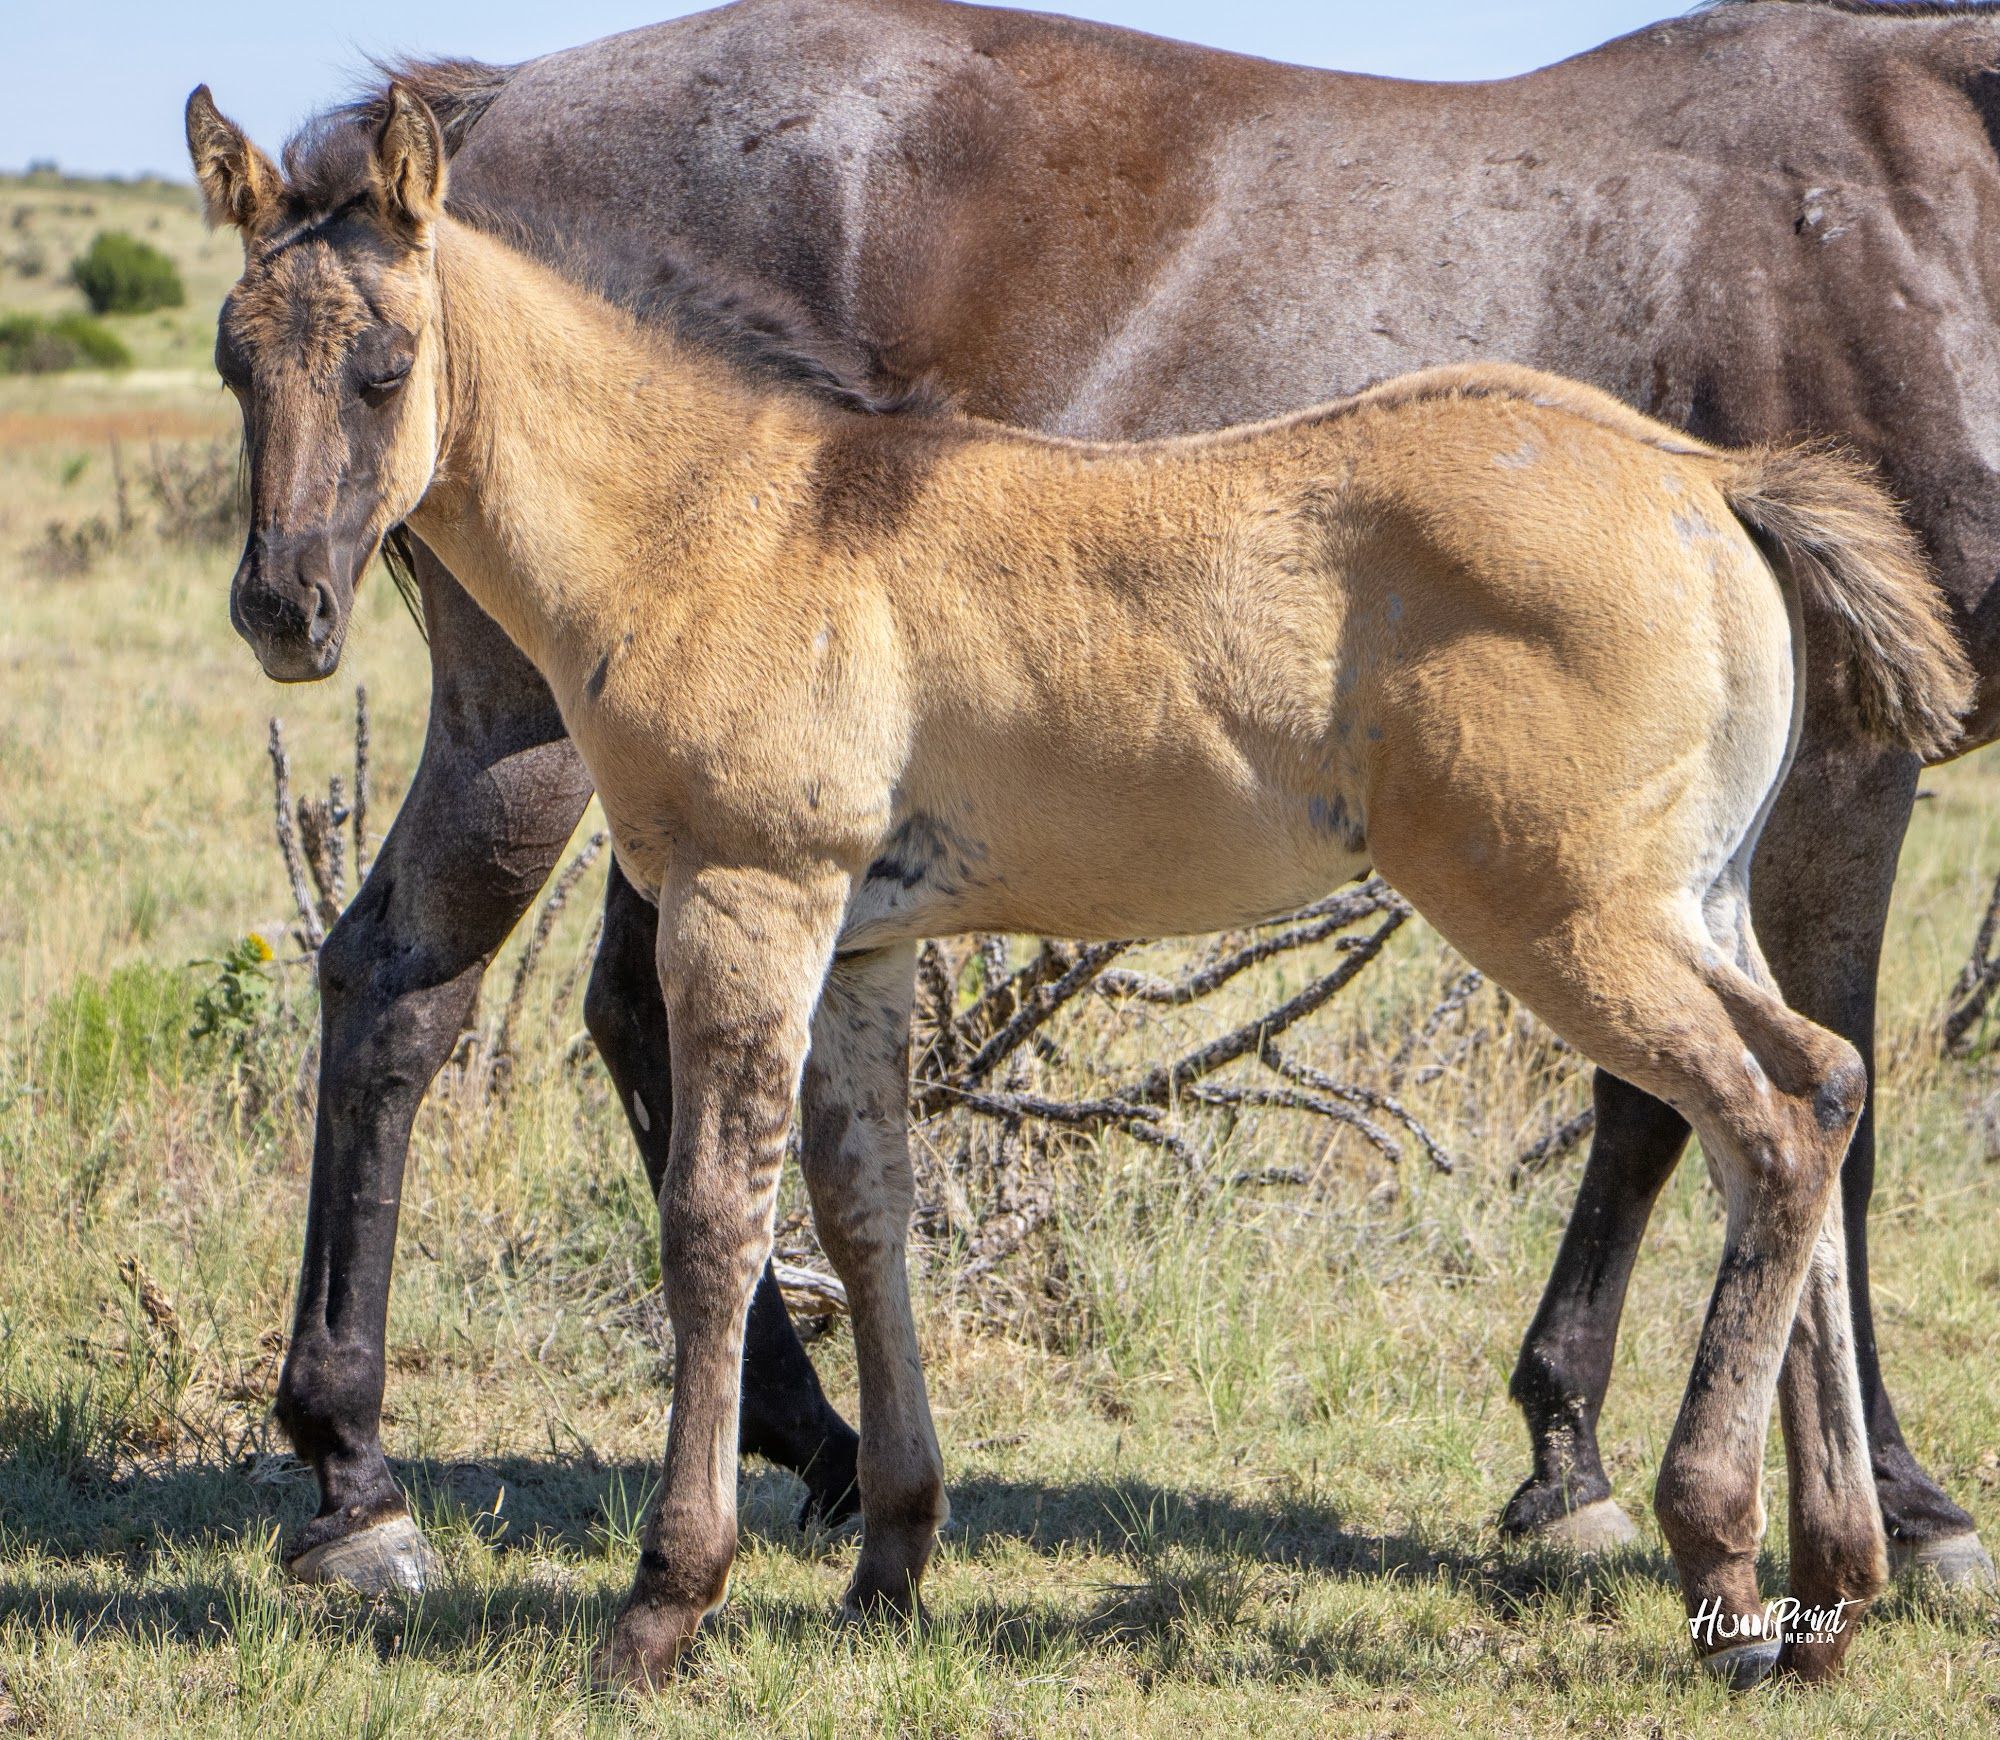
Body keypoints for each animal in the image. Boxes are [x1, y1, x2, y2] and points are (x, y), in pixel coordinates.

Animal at [208, 0, 2000, 1608]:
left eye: (383, 371)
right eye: (233, 364)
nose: (283, 607)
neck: (741, 509)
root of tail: (1714, 483)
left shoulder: (775, 906)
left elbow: (742, 1215)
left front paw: (683, 1589)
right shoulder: (853, 934)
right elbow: (854, 1207)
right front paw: (885, 1556)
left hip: (1597, 911)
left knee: (1788, 1104)